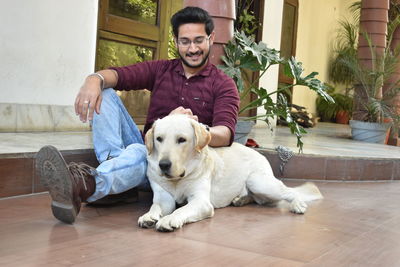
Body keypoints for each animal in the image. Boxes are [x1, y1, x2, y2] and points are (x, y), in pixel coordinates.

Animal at [138, 115, 322, 232]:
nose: (163, 165)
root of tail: (260, 154)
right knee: (259, 199)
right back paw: (240, 200)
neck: (178, 179)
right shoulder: (164, 198)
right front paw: (148, 216)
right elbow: (156, 206)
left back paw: (297, 204)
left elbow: (181, 210)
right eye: (159, 139)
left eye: (181, 140)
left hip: (258, 181)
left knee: (289, 192)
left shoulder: (201, 202)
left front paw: (169, 219)